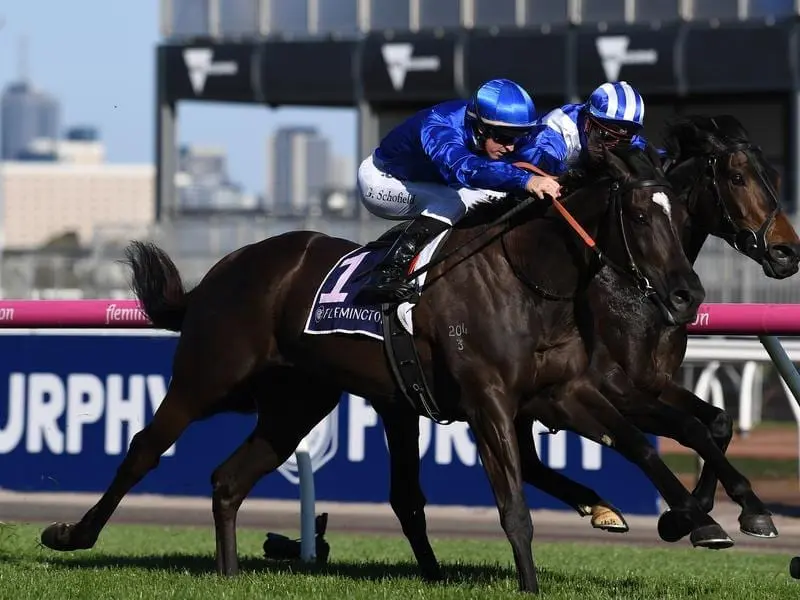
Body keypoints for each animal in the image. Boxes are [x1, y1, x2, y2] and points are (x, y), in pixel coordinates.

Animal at [43, 143, 708, 592]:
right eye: (641, 216)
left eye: (682, 217)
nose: (686, 296)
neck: (526, 276)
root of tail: (223, 269)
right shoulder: (488, 400)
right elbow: (514, 506)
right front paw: (531, 582)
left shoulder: (561, 392)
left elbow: (636, 444)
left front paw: (697, 521)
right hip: (207, 376)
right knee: (144, 449)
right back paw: (71, 534)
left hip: (295, 404)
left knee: (228, 480)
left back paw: (228, 573)